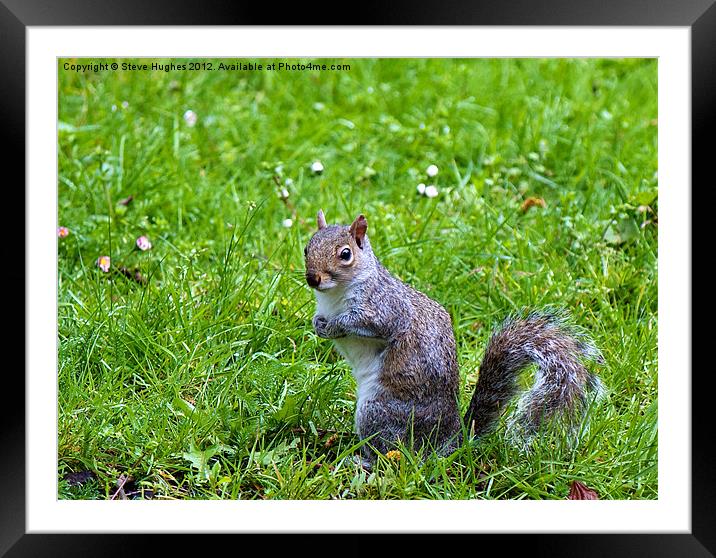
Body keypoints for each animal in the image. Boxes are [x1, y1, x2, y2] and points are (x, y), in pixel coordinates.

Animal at [304, 210, 604, 468]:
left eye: (345, 254)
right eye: (307, 248)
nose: (313, 278)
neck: (334, 295)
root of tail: (447, 443)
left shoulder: (386, 308)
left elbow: (372, 324)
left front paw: (335, 326)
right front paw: (318, 324)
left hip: (378, 412)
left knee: (393, 454)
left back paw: (362, 461)